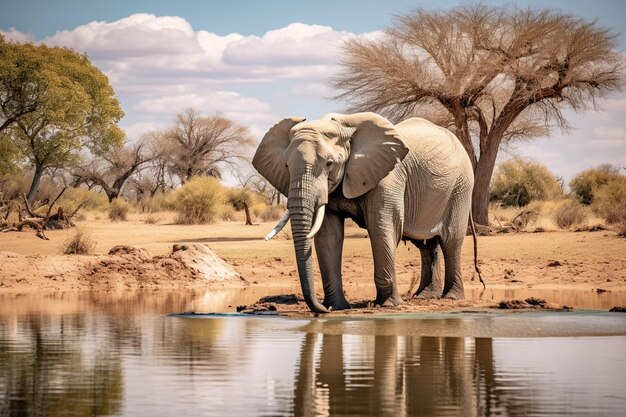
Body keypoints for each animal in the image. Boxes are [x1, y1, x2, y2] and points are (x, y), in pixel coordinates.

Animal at [251, 110, 480, 312]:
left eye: (329, 163)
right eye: (286, 166)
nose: (321, 309)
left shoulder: (388, 177)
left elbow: (381, 228)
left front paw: (388, 305)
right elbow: (329, 236)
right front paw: (336, 307)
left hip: (461, 187)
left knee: (450, 240)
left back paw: (451, 298)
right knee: (426, 244)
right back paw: (425, 297)